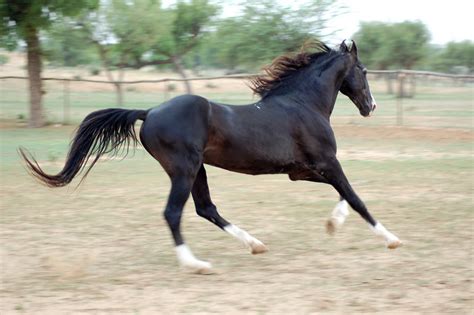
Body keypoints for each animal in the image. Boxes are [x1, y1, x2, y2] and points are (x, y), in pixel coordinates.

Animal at [21, 40, 400, 276]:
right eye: (364, 71)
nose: (372, 106)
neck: (303, 105)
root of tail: (149, 112)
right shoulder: (327, 161)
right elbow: (355, 196)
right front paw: (391, 239)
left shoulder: (302, 170)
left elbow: (343, 195)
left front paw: (333, 224)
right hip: (184, 170)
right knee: (174, 212)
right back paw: (196, 264)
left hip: (197, 169)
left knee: (206, 208)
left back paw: (254, 245)